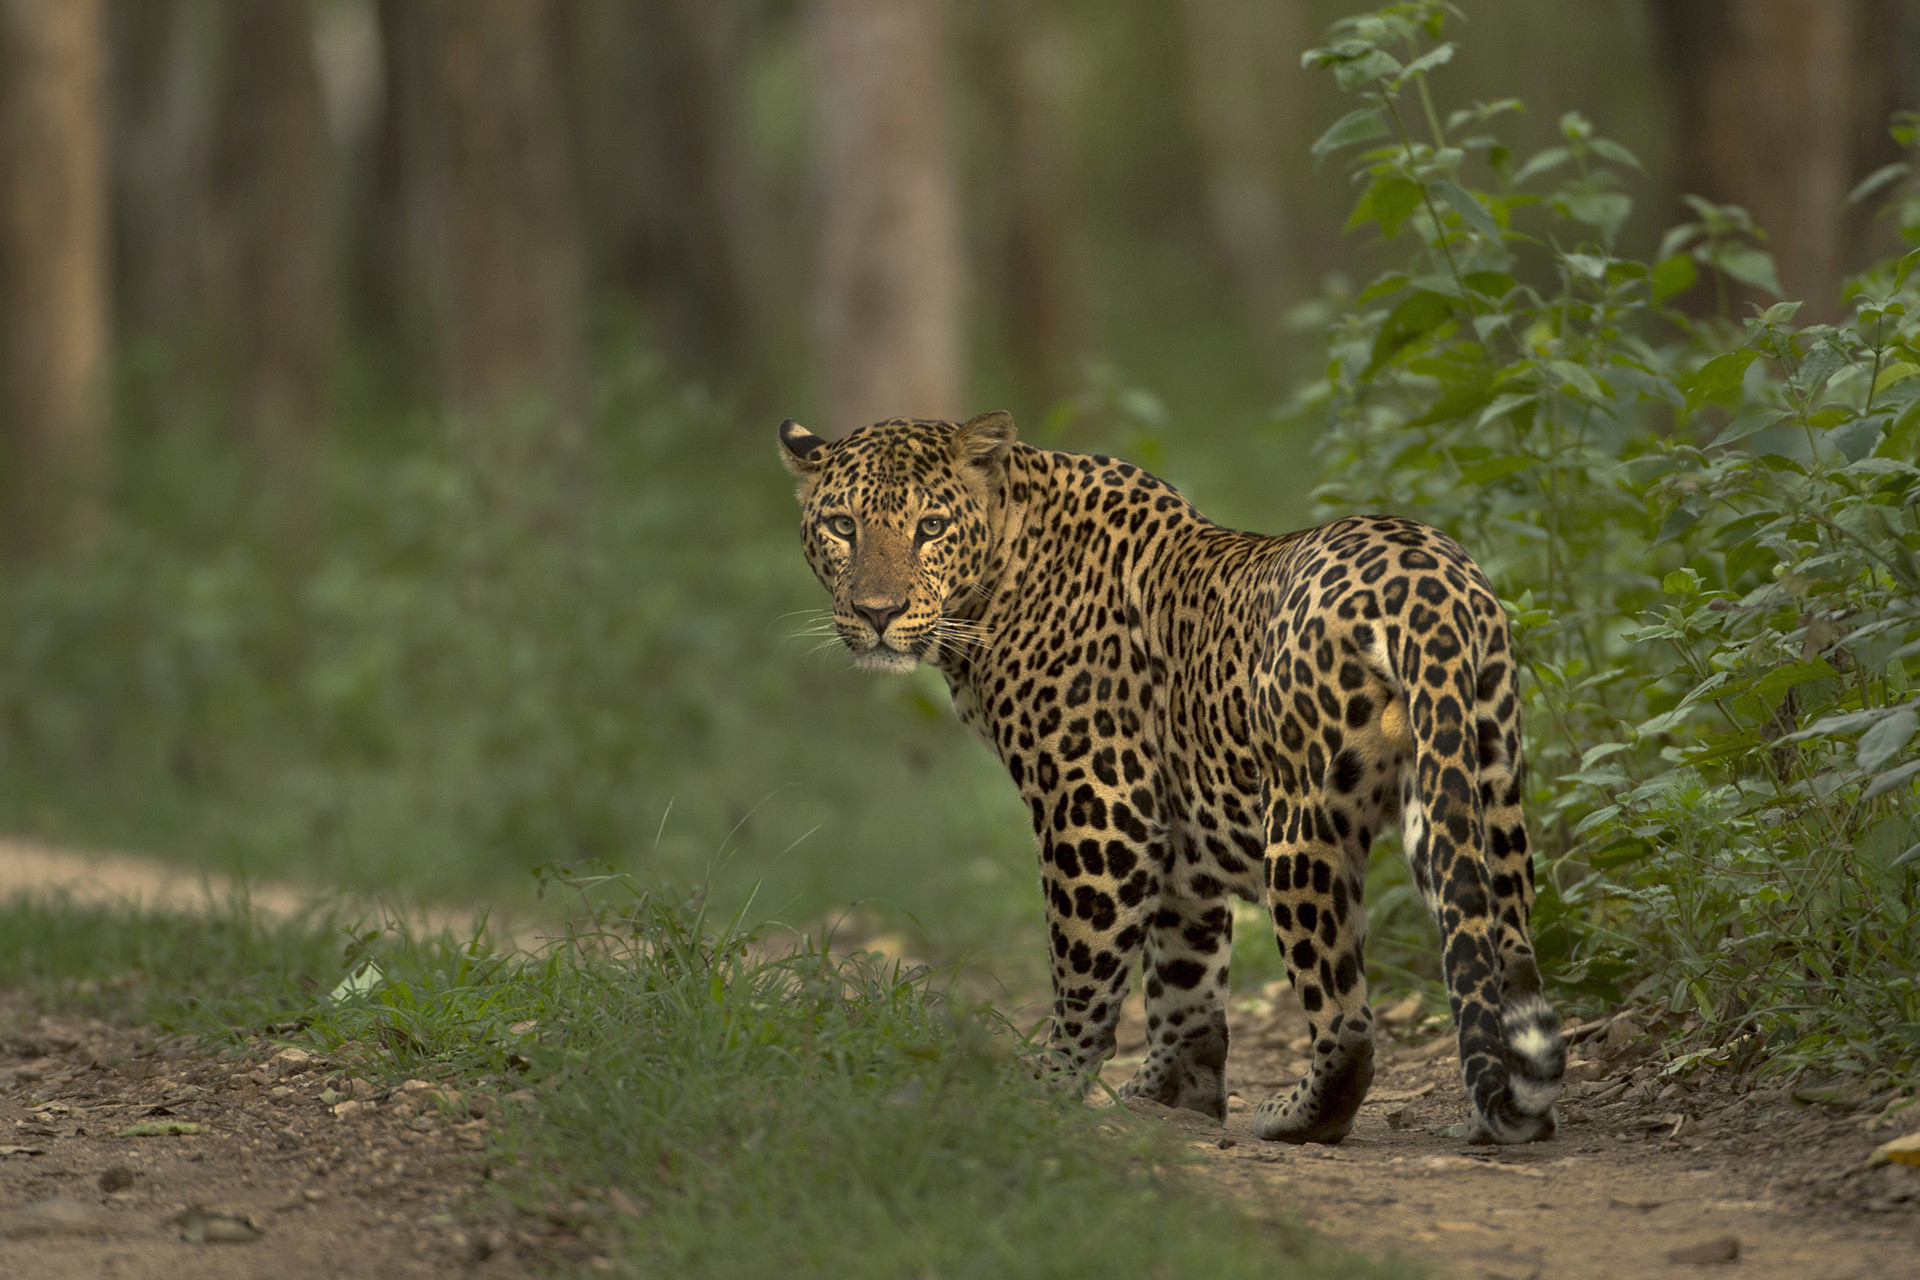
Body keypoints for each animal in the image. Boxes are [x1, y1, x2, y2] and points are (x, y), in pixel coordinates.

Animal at [778, 409, 1564, 1144]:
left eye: (931, 527)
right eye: (843, 526)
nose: (877, 613)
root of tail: (1429, 586)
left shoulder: (1099, 807)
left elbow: (1085, 966)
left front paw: (1048, 1087)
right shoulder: (1182, 829)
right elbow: (1185, 969)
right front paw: (1174, 1095)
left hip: (1303, 822)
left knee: (1346, 1015)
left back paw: (1300, 1116)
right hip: (1479, 788)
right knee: (1500, 950)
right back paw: (1504, 1110)